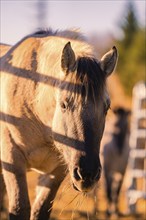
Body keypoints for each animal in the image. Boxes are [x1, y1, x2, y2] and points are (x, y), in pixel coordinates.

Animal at [0, 29, 118, 220]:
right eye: (63, 104)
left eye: (106, 108)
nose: (88, 174)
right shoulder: (12, 161)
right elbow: (19, 208)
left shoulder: (56, 172)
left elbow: (40, 210)